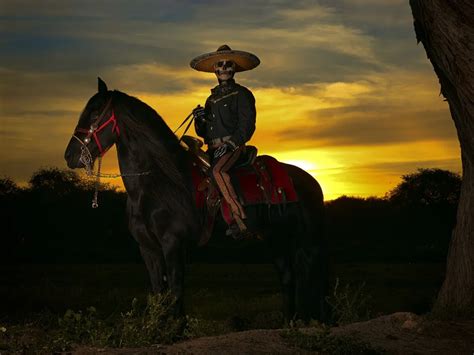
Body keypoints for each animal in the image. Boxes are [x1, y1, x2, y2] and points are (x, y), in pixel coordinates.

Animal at [65, 79, 328, 324]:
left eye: (95, 114)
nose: (70, 156)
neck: (157, 184)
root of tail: (312, 182)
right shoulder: (148, 248)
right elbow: (158, 292)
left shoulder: (172, 243)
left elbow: (175, 291)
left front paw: (175, 330)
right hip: (276, 240)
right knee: (288, 278)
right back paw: (290, 322)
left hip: (307, 242)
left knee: (309, 277)